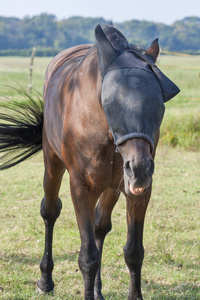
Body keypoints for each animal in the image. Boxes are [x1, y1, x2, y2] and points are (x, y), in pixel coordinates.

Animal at [0, 24, 180, 298]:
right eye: (111, 102)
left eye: (158, 104)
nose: (139, 169)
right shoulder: (81, 188)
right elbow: (87, 258)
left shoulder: (136, 192)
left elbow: (133, 252)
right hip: (53, 165)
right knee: (50, 211)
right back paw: (46, 280)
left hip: (112, 188)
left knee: (100, 226)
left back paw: (97, 289)